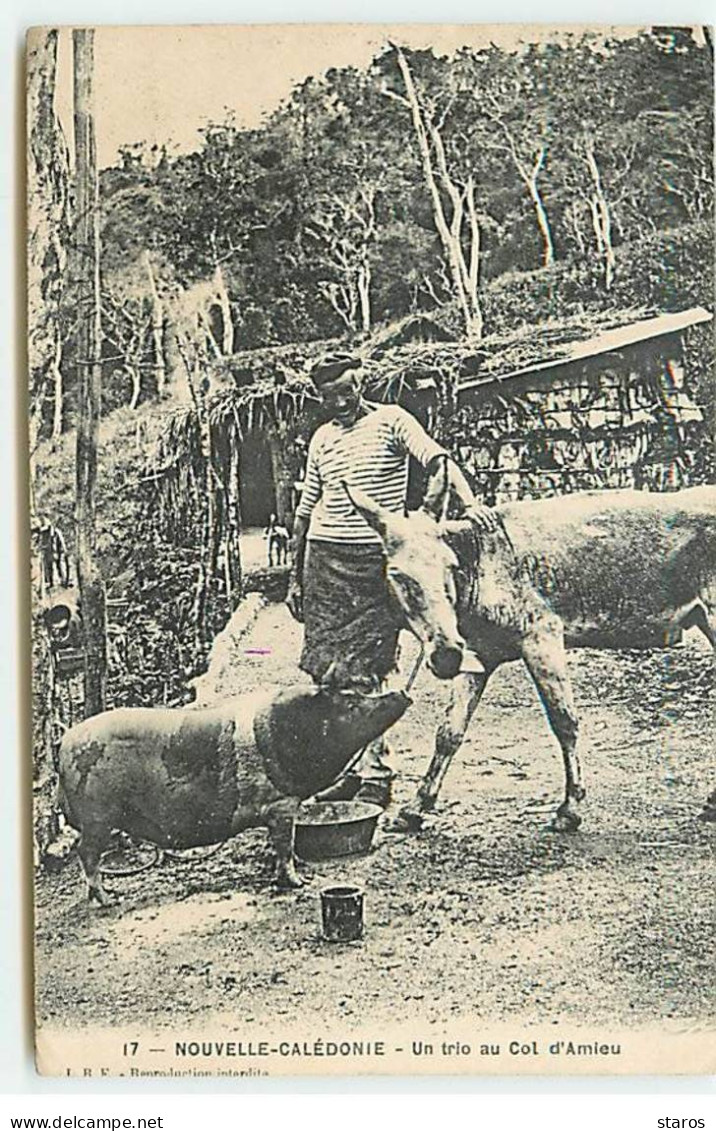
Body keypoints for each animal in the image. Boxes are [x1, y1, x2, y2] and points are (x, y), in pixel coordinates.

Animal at [57, 678, 407, 909]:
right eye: (350, 703)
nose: (402, 692)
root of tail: (63, 744)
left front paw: (301, 867)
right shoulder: (280, 804)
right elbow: (285, 844)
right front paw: (299, 882)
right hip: (98, 817)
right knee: (85, 852)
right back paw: (108, 900)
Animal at [343, 465, 710, 832]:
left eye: (450, 566)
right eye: (398, 575)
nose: (446, 654)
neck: (481, 570)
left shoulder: (542, 635)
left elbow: (564, 722)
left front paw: (569, 808)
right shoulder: (479, 654)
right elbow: (449, 732)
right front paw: (415, 808)